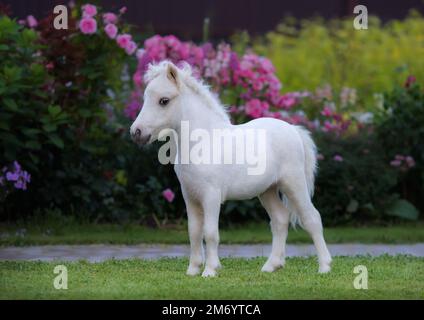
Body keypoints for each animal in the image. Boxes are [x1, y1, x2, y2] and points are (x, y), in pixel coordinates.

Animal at [129, 61, 332, 276]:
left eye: (164, 101)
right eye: (145, 98)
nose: (136, 132)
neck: (203, 142)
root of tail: (293, 130)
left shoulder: (211, 196)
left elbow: (210, 233)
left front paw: (210, 270)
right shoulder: (190, 196)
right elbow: (194, 231)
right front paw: (193, 270)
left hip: (293, 183)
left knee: (311, 218)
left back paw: (324, 266)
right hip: (267, 190)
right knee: (280, 219)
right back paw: (271, 265)